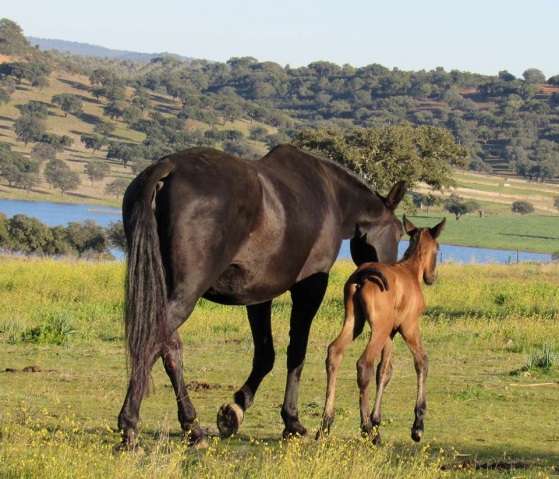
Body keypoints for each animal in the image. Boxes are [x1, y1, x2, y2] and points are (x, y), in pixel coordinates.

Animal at [119, 143, 406, 450]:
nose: (391, 280)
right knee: (155, 343)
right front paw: (292, 422)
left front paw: (235, 410)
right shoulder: (309, 290)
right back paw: (133, 426)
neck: (333, 196)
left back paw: (190, 427)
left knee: (168, 348)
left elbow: (265, 354)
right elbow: (297, 352)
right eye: (399, 232)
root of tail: (168, 167)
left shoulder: (258, 297)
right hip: (184, 295)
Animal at [320, 216, 446, 444]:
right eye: (438, 247)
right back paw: (366, 428)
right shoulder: (408, 326)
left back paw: (326, 425)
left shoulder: (391, 333)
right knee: (364, 365)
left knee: (335, 353)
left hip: (355, 322)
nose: (432, 277)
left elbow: (384, 370)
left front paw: (377, 420)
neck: (410, 271)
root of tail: (363, 275)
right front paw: (417, 425)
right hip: (379, 327)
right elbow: (422, 361)